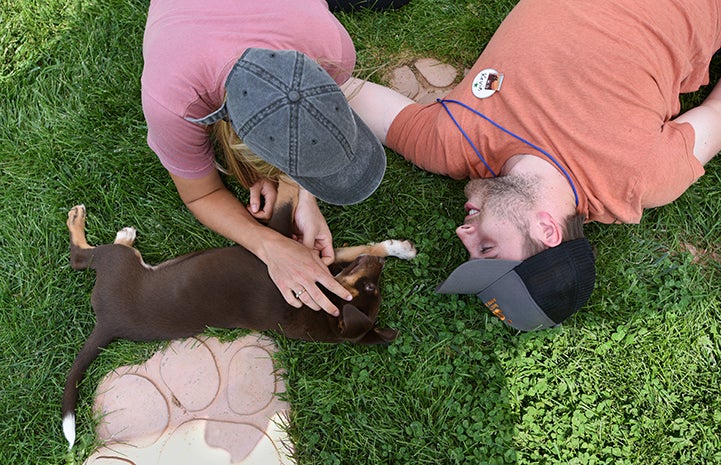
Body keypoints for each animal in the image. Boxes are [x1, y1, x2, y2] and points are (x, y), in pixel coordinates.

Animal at [62, 194, 416, 448]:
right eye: (373, 286)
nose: (381, 266)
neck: (323, 314)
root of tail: (109, 322)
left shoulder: (281, 237)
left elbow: (290, 198)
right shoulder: (307, 255)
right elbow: (350, 249)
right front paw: (397, 248)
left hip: (118, 264)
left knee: (80, 257)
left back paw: (97, 226)